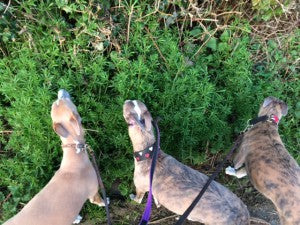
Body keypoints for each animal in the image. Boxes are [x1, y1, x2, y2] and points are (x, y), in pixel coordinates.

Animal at [3, 89, 105, 225]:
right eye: (61, 101)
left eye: (53, 105)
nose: (61, 90)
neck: (74, 154)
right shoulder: (93, 192)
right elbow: (99, 201)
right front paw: (106, 202)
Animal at [122, 100, 251, 225]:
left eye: (126, 111)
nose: (126, 100)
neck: (150, 154)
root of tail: (244, 217)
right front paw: (157, 202)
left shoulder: (140, 187)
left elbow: (138, 199)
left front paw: (132, 197)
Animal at [227, 96, 300, 225]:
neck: (268, 122)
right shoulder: (251, 165)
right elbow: (241, 172)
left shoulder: (242, 153)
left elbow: (236, 165)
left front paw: (229, 169)